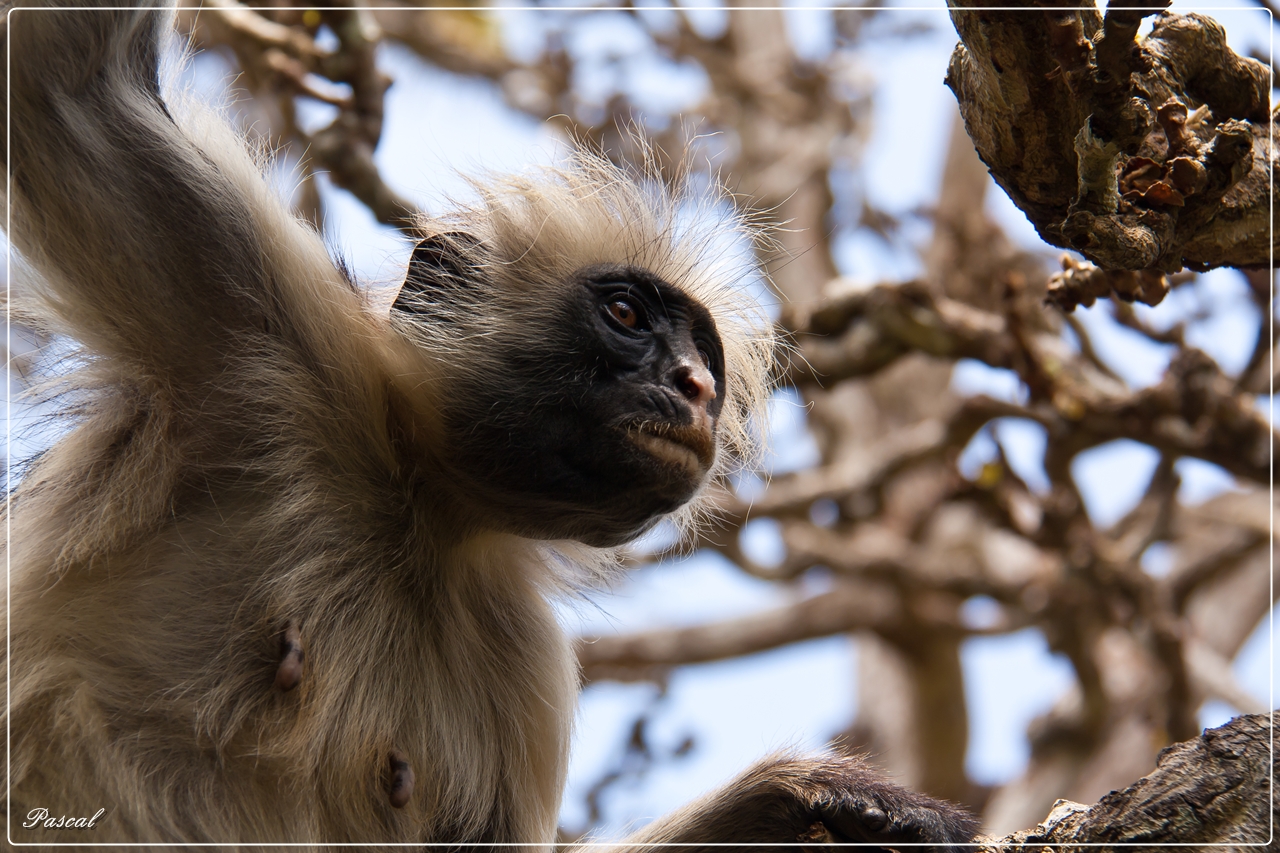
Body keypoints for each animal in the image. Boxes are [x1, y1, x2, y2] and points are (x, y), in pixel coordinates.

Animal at [2, 6, 977, 850]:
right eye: (626, 314)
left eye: (702, 355)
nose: (695, 386)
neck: (415, 504)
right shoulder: (257, 322)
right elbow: (64, 76)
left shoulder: (522, 659)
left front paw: (784, 801)